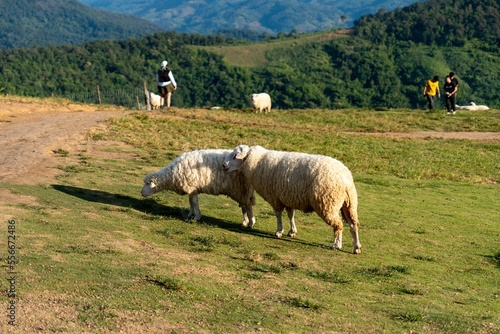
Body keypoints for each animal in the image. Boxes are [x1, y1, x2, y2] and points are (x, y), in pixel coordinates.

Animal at [223, 144, 360, 253]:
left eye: (235, 156)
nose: (224, 165)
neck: (258, 163)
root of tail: (345, 178)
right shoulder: (287, 197)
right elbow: (291, 215)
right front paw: (292, 231)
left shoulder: (275, 197)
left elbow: (278, 215)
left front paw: (279, 231)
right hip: (350, 204)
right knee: (353, 225)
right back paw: (356, 247)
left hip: (327, 203)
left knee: (338, 225)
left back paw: (337, 244)